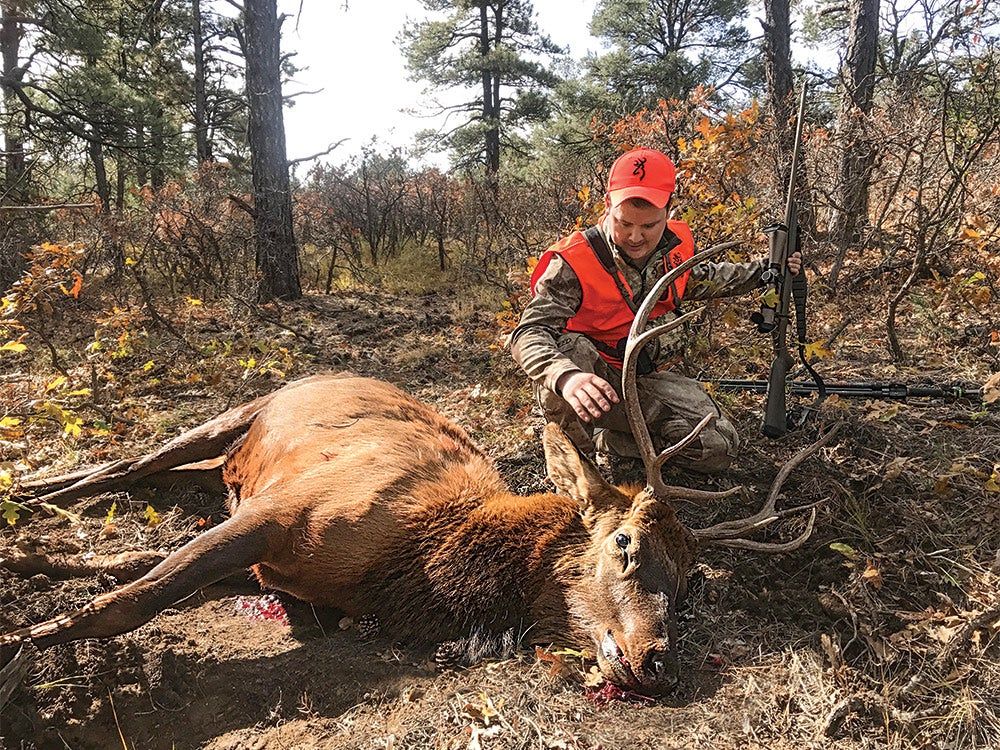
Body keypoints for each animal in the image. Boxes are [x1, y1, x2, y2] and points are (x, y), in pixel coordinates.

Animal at [0, 246, 838, 701]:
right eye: (625, 544)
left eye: (694, 581)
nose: (656, 661)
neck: (411, 563)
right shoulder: (283, 512)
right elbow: (132, 597)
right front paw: (30, 636)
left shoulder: (274, 558)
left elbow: (130, 567)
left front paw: (34, 566)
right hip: (242, 408)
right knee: (132, 460)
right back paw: (35, 491)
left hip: (227, 467)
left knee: (171, 477)